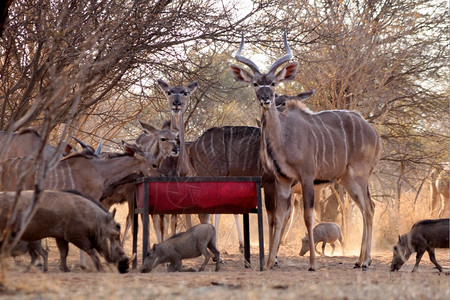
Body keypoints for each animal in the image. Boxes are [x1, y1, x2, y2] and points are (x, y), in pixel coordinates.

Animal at [230, 31, 382, 270]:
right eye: (255, 83)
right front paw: (270, 262)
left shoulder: (307, 177)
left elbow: (307, 217)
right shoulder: (282, 181)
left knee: (368, 208)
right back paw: (360, 261)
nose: (266, 99)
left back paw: (365, 261)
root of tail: (374, 132)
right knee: (369, 206)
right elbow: (278, 217)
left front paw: (312, 263)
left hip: (359, 175)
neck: (284, 137)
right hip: (347, 179)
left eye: (273, 83)